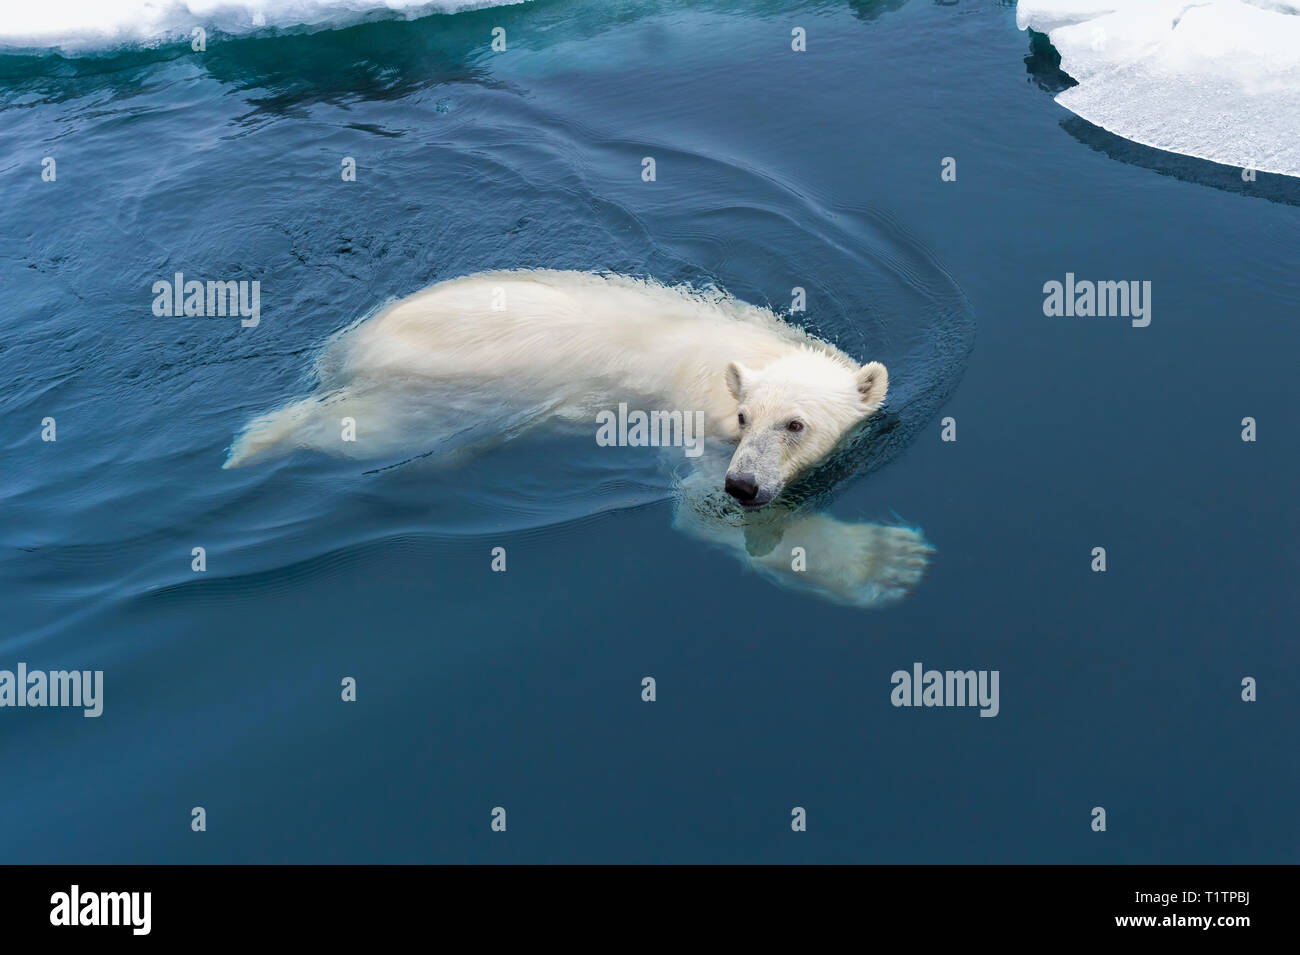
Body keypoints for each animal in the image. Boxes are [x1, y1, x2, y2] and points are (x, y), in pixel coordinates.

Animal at [226, 268, 935, 605]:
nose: (744, 483)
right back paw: (253, 442)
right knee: (362, 432)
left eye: (795, 424)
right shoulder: (693, 426)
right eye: (744, 418)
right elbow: (702, 512)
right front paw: (885, 560)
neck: (750, 351)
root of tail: (349, 344)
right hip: (435, 389)